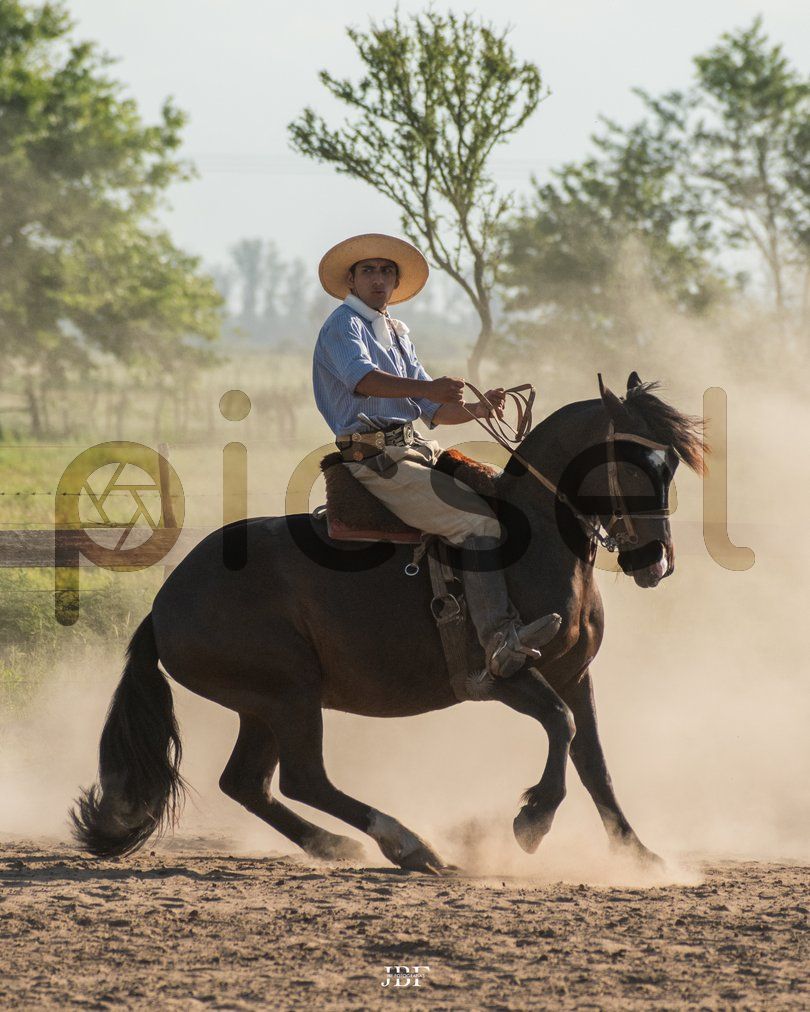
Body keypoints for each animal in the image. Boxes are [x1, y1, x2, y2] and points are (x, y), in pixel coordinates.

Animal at [70, 372, 703, 873]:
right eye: (634, 464)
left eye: (671, 464)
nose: (656, 561)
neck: (533, 542)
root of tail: (163, 605)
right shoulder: (505, 676)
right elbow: (561, 725)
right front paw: (532, 822)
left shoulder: (576, 674)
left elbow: (594, 761)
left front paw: (639, 855)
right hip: (289, 693)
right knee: (304, 777)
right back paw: (409, 845)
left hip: (261, 704)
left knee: (247, 782)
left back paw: (334, 845)